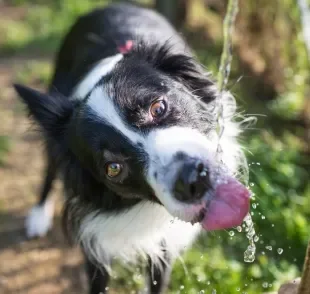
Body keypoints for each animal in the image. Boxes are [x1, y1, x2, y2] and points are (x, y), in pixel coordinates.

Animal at [13, 2, 249, 294]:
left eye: (158, 107)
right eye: (113, 168)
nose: (193, 181)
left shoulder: (164, 245)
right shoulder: (95, 243)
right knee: (49, 167)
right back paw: (38, 216)